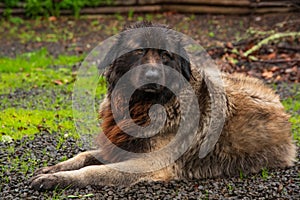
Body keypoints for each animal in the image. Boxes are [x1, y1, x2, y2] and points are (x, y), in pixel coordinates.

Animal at [29, 21, 296, 191]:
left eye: (166, 56)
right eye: (138, 52)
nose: (152, 75)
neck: (142, 106)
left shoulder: (149, 164)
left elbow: (94, 171)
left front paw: (58, 179)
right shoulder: (121, 145)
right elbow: (84, 156)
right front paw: (55, 168)